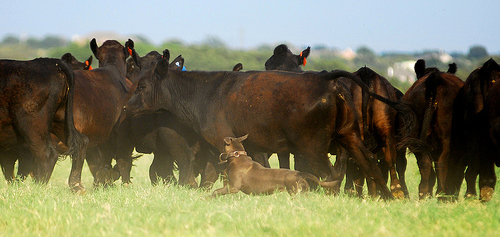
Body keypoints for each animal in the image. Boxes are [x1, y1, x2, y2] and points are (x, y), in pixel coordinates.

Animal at [0, 56, 88, 188]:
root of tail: (52, 62)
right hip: (60, 120)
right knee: (80, 141)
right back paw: (76, 185)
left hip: (31, 124)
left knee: (46, 153)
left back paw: (38, 187)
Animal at [211, 134, 340, 197]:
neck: (237, 156)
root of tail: (299, 173)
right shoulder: (227, 185)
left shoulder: (233, 187)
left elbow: (216, 192)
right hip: (302, 191)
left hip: (295, 192)